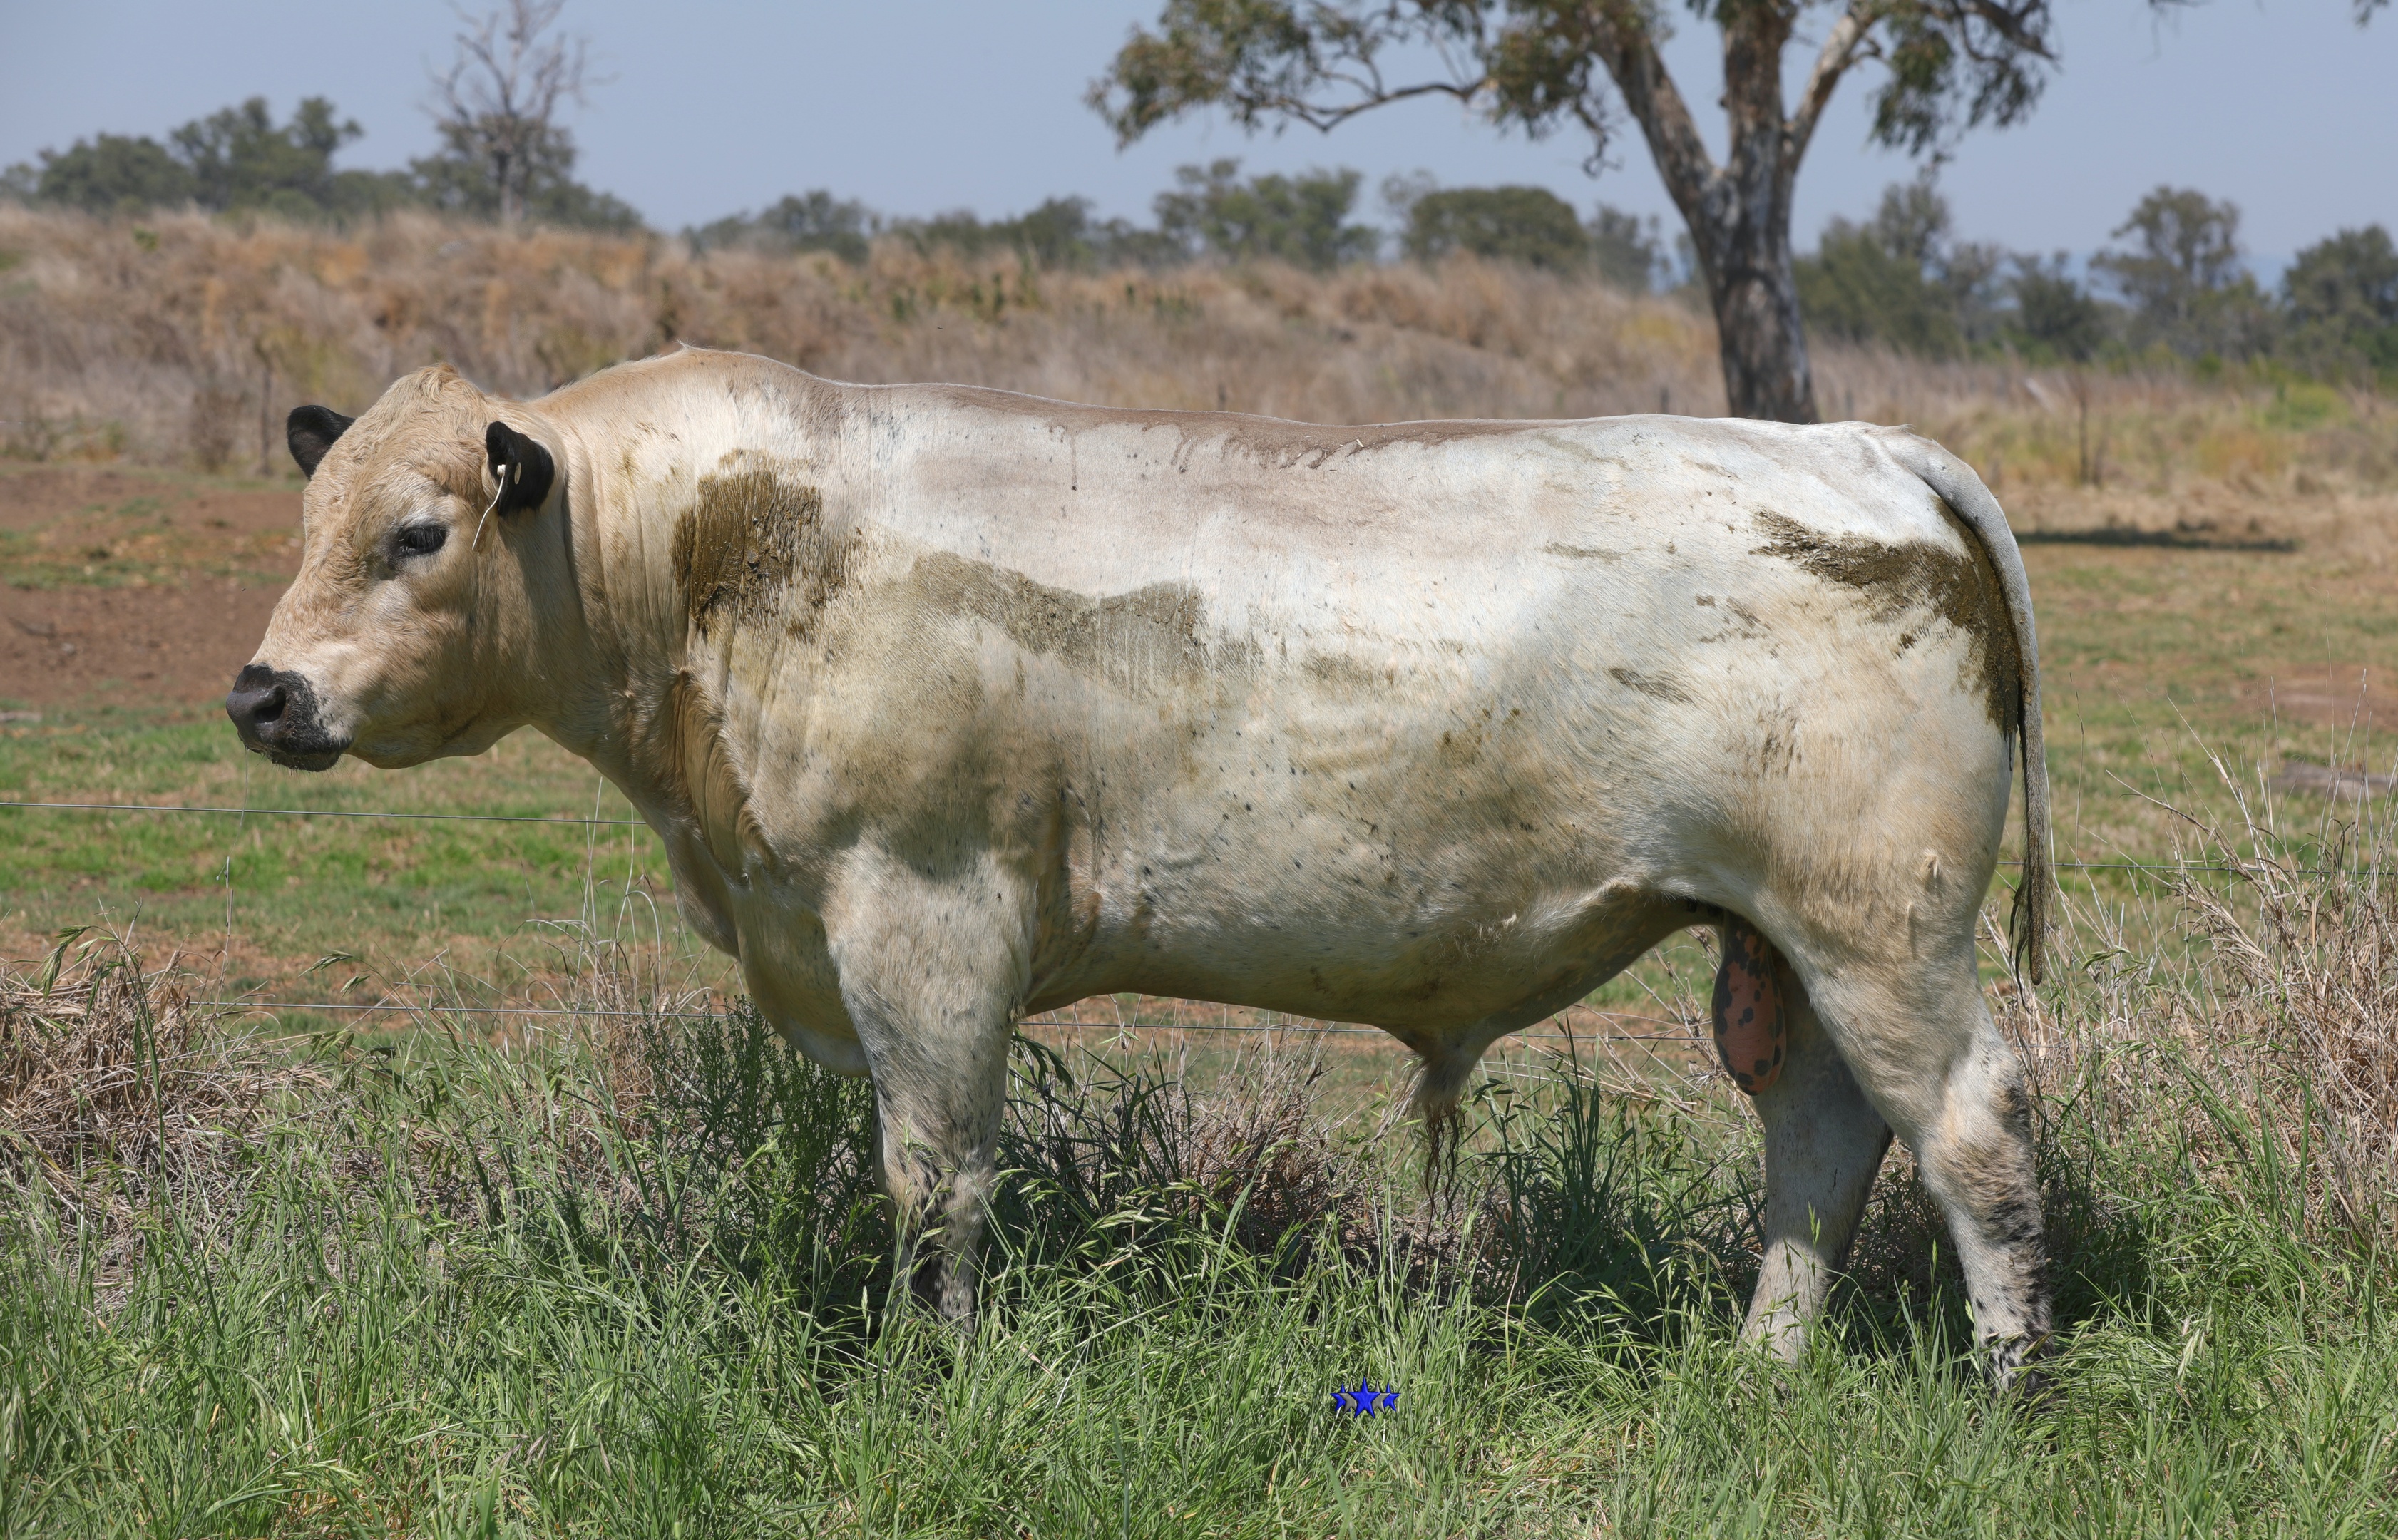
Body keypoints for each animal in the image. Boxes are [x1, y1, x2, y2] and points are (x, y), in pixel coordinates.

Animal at [228, 348, 2054, 1380]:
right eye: (307, 517)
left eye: (419, 531)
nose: (264, 691)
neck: (718, 552)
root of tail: (1861, 449)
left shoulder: (925, 912)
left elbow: (935, 1175)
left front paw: (938, 1374)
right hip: (1787, 947)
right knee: (1820, 1141)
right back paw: (1766, 1363)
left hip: (1876, 928)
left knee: (1969, 1130)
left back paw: (2007, 1379)